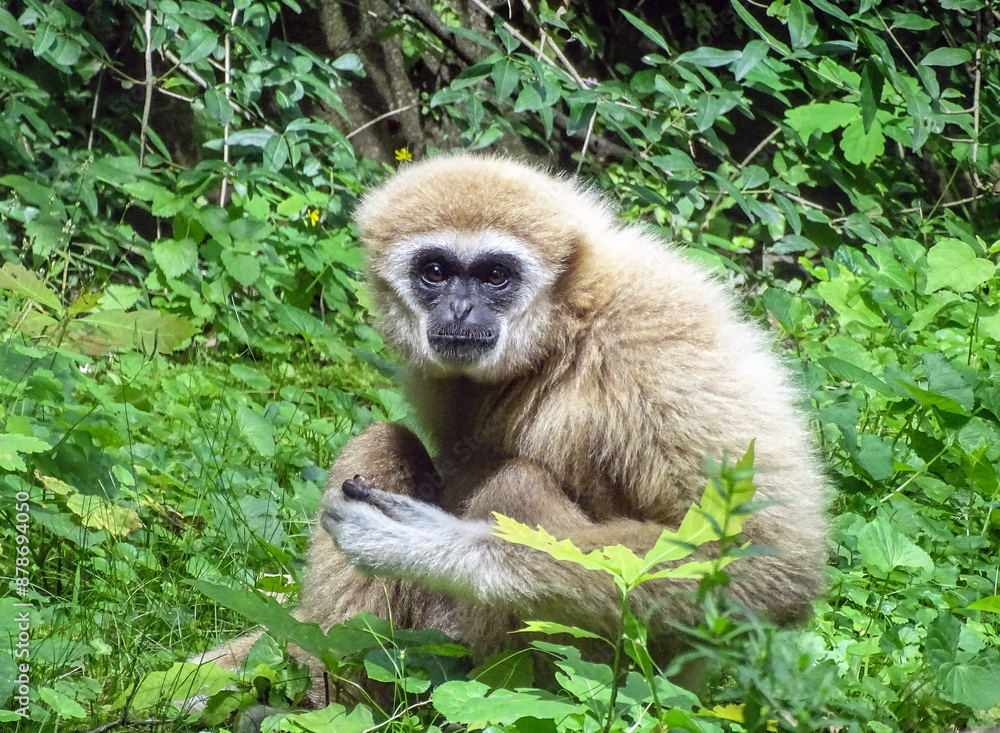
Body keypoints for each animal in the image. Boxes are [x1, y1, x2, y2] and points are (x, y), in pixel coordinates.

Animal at [192, 153, 828, 712]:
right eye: (435, 271)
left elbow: (766, 563)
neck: (565, 329)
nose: (461, 309)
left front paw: (437, 546)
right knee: (384, 442)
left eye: (496, 276)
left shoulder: (658, 335)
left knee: (515, 484)